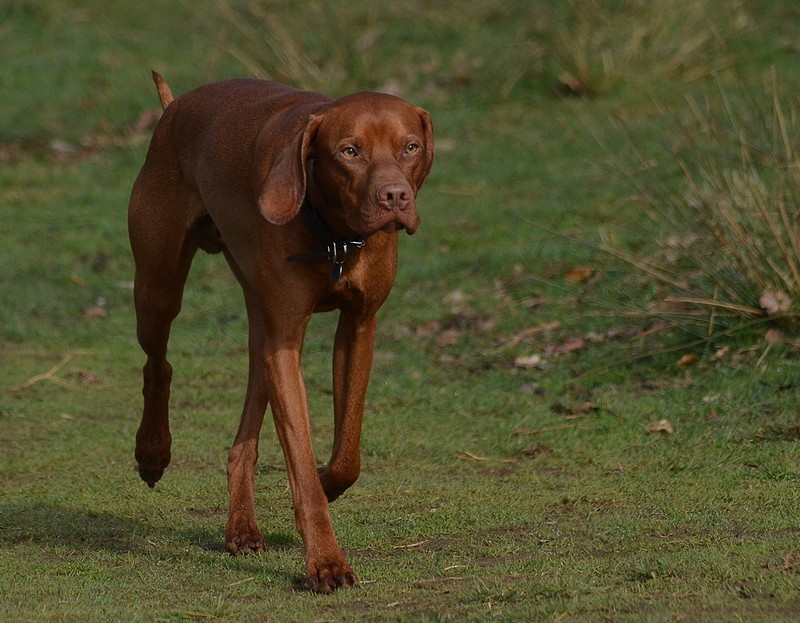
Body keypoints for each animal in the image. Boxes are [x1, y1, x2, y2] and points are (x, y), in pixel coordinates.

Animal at [129, 73, 434, 588]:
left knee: (244, 435)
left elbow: (346, 455)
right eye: (349, 151)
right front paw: (326, 563)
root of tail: (174, 108)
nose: (395, 197)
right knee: (158, 363)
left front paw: (327, 482)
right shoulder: (286, 342)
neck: (334, 236)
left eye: (409, 146)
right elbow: (302, 464)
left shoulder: (358, 327)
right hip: (157, 289)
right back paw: (153, 452)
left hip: (259, 324)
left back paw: (242, 528)